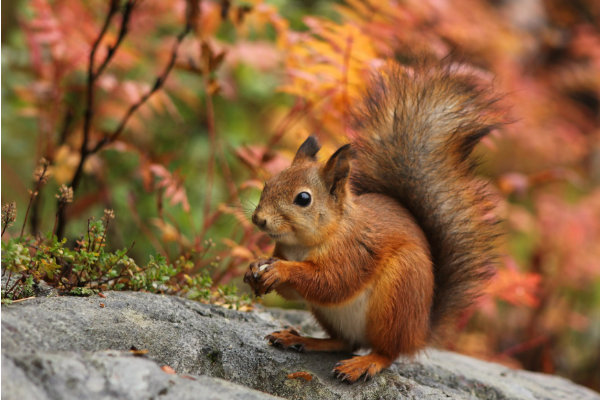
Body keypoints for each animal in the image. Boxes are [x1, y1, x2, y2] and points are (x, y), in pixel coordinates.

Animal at [241, 58, 500, 382]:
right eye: (269, 183)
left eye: (303, 198)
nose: (258, 219)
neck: (306, 243)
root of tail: (418, 333)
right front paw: (255, 265)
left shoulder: (355, 251)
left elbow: (332, 282)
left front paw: (281, 270)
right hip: (330, 314)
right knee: (344, 342)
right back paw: (302, 339)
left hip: (397, 296)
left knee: (387, 352)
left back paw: (363, 363)